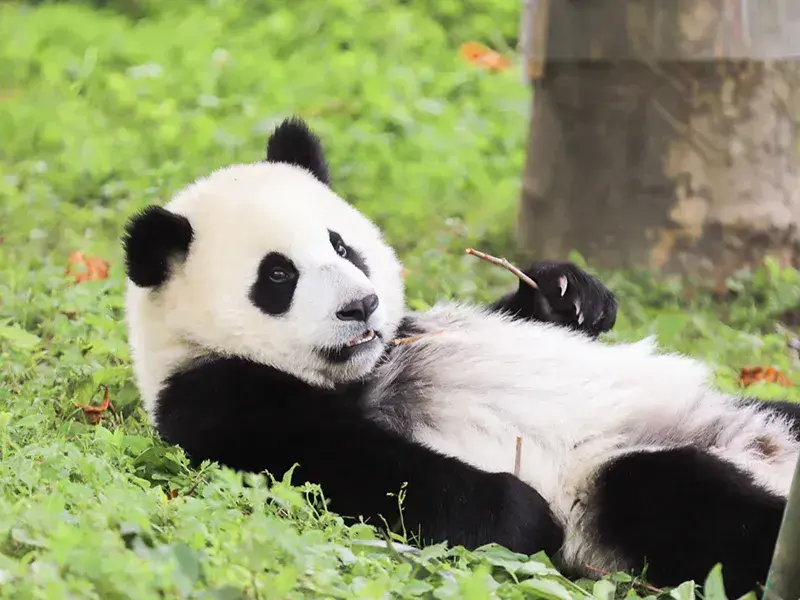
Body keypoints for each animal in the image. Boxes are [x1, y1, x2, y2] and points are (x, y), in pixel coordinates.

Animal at [122, 116, 800, 597]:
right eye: (279, 275)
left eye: (341, 246)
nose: (362, 306)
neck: (363, 372)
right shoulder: (217, 396)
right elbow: (354, 470)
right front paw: (526, 517)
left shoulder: (412, 329)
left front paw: (571, 294)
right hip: (613, 486)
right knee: (678, 500)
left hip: (749, 410)